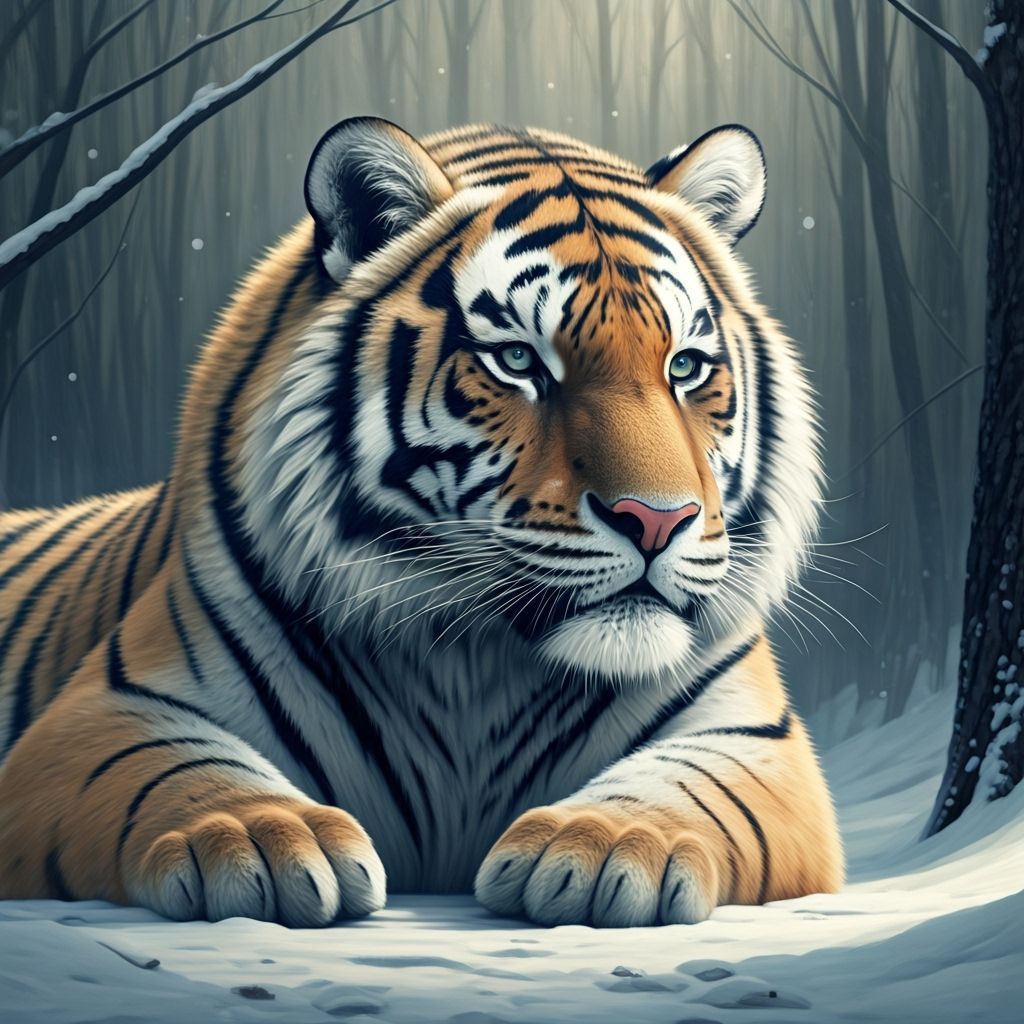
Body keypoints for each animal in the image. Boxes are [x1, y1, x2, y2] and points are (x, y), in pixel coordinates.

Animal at [0, 117, 843, 928]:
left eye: (685, 367)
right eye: (518, 361)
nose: (658, 520)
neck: (476, 663)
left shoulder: (748, 736)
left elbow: (689, 786)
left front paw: (607, 846)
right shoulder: (108, 710)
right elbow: (176, 770)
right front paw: (258, 840)